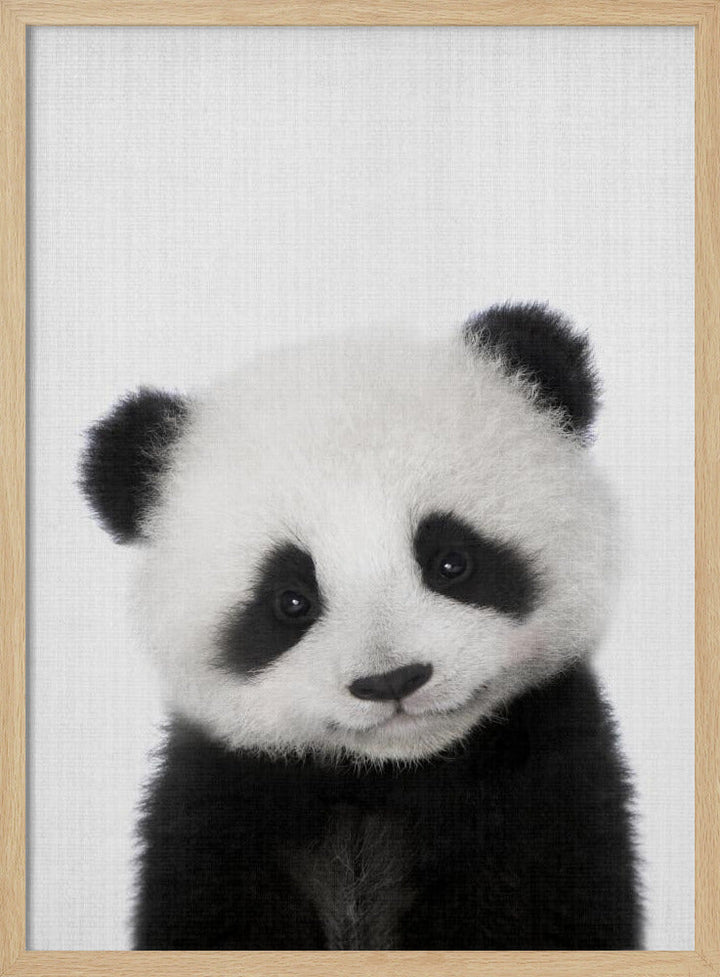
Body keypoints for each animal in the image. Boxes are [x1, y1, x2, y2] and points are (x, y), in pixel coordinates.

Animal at [80, 303, 640, 950]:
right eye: (291, 600)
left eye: (451, 562)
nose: (392, 680)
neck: (385, 777)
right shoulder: (221, 803)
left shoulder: (545, 785)